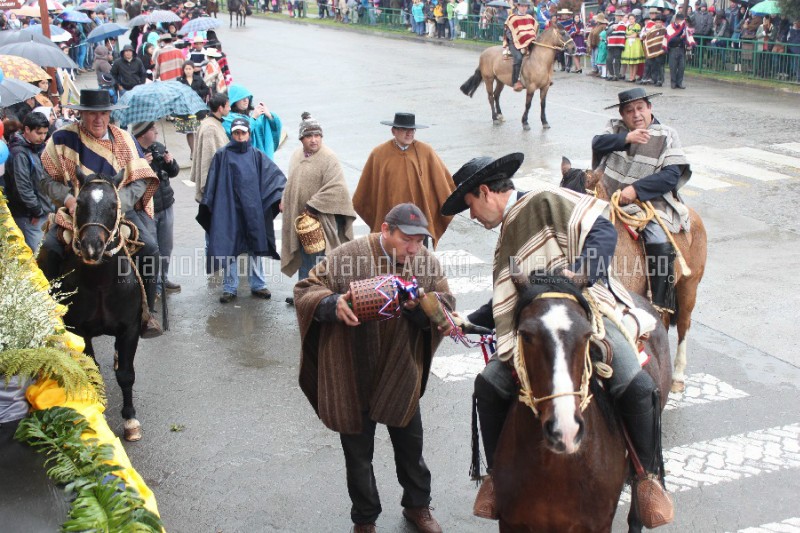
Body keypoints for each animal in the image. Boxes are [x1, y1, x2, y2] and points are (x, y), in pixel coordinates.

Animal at [37, 169, 145, 440]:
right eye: (80, 204)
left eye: (113, 205)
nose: (91, 247)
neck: (101, 285)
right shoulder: (79, 331)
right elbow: (92, 372)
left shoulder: (130, 328)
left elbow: (126, 374)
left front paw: (130, 420)